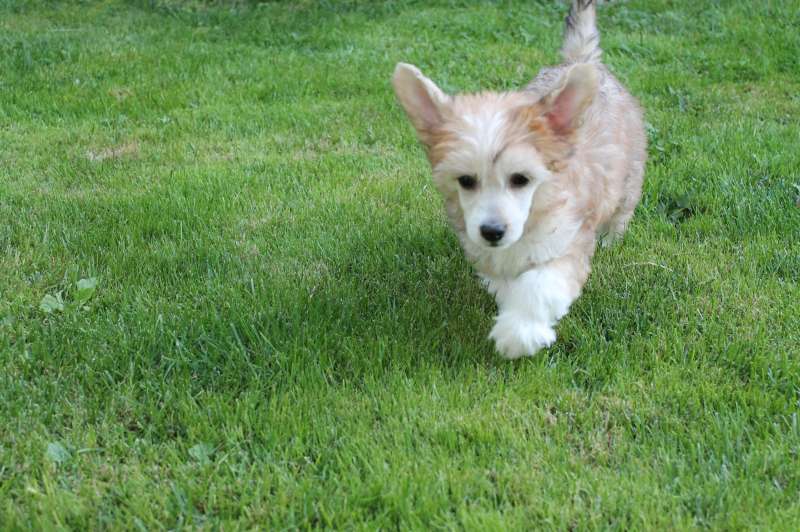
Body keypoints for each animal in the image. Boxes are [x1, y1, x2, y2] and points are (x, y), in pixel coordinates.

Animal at [392, 0, 647, 359]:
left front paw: (519, 332)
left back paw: (612, 239)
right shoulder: (490, 254)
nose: (492, 231)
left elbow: (539, 287)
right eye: (465, 181)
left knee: (621, 210)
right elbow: (504, 281)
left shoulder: (566, 242)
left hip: (628, 178)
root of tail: (580, 59)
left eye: (520, 179)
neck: (534, 213)